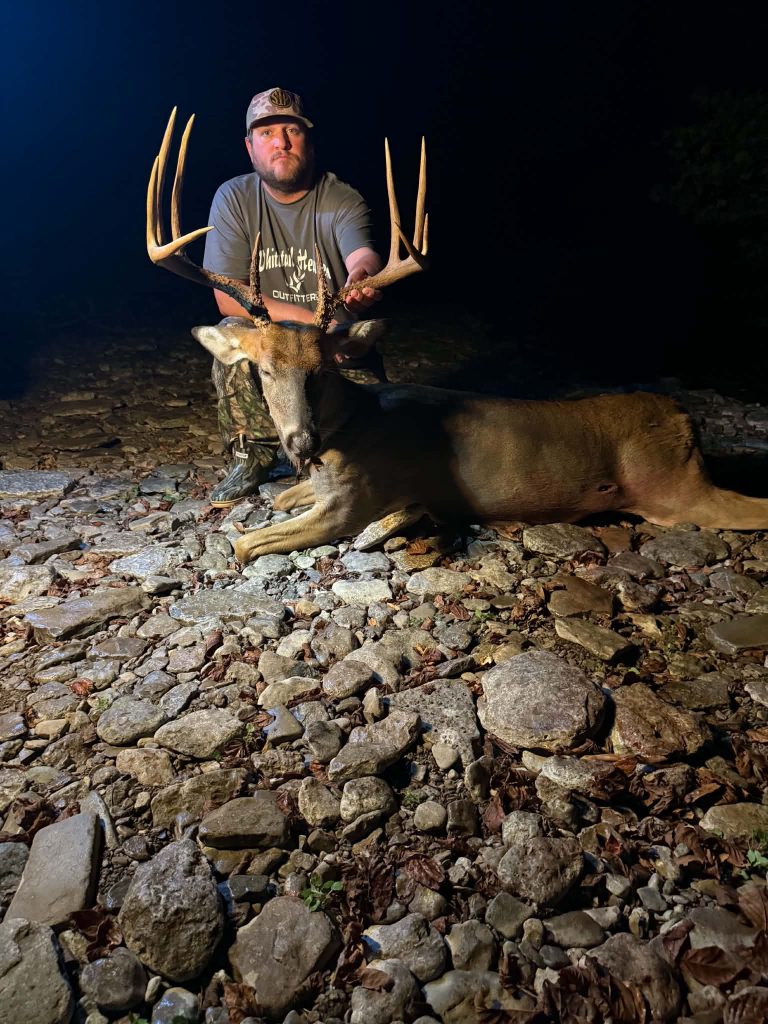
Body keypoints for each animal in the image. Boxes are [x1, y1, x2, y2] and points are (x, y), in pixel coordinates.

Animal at [147, 109, 768, 564]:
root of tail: (685, 418)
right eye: (265, 369)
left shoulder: (351, 503)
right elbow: (278, 498)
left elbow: (243, 544)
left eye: (321, 370)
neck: (350, 430)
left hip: (678, 490)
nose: (300, 443)